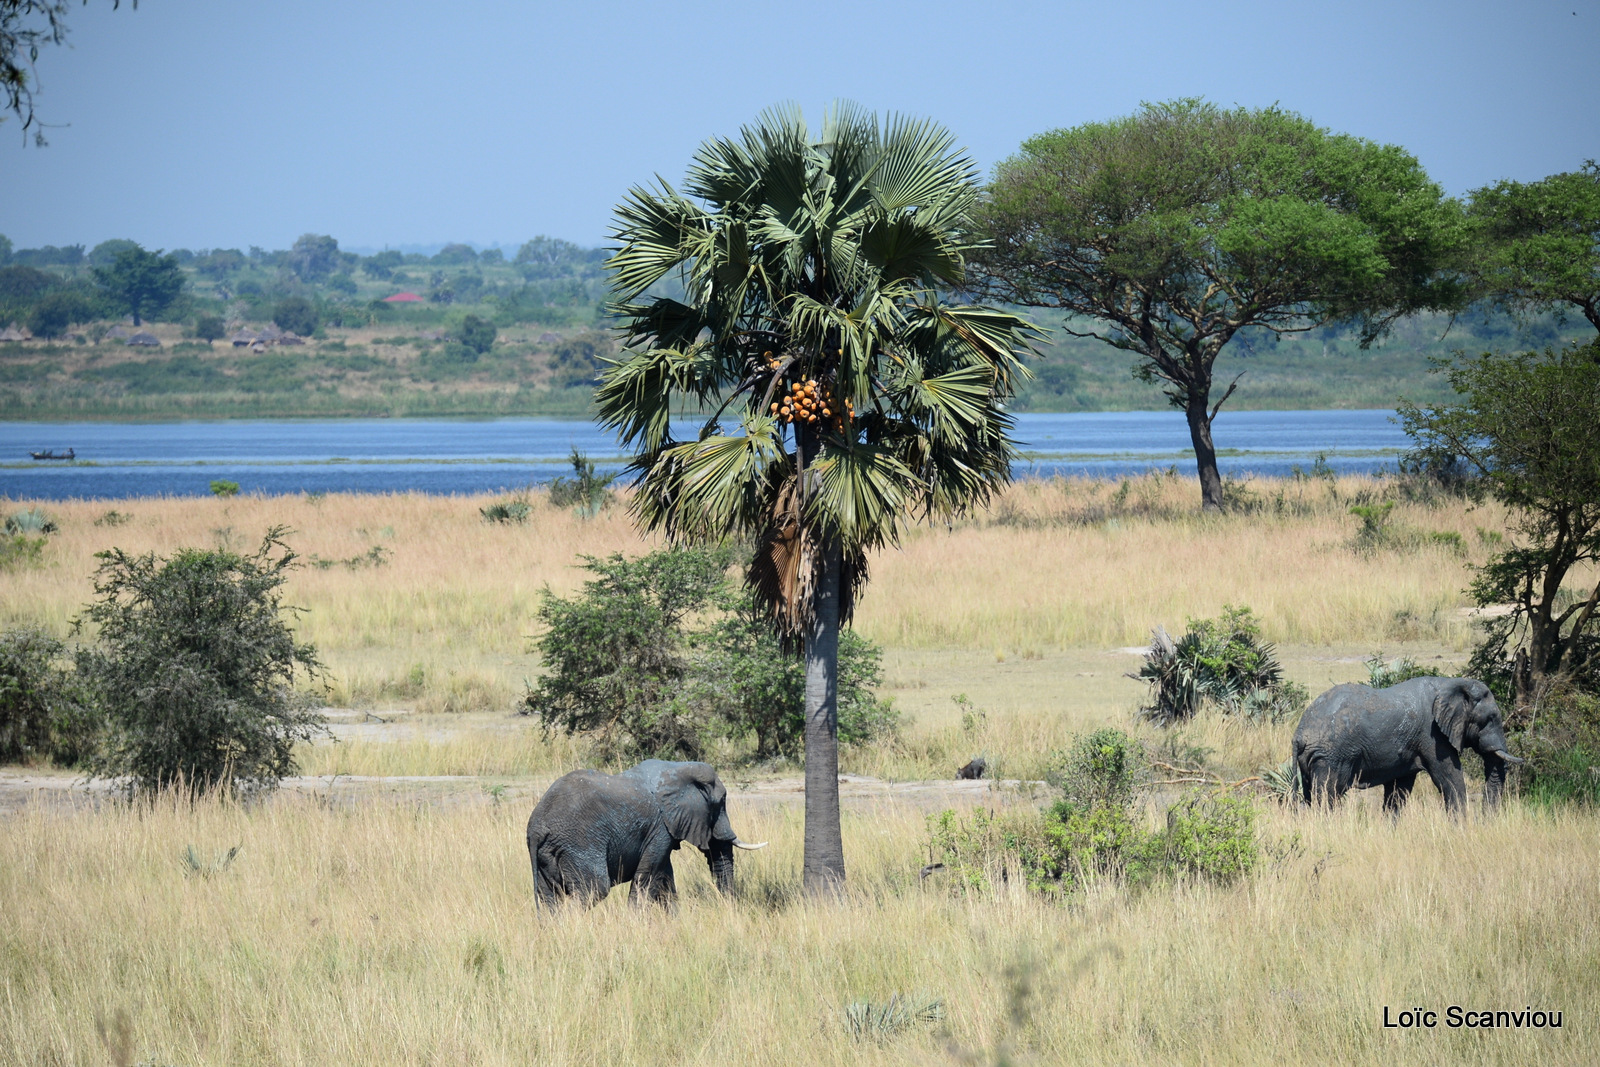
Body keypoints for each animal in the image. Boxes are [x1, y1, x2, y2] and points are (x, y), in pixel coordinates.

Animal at [528, 758, 764, 908]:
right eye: (721, 802)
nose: (727, 907)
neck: (677, 768)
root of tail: (538, 828)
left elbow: (665, 877)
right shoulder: (660, 827)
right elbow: (648, 875)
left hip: (545, 856)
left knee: (548, 898)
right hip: (579, 844)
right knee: (594, 890)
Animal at [1286, 675, 1523, 819]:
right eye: (1490, 719)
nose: (1483, 820)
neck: (1452, 683)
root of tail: (1299, 733)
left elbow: (1398, 790)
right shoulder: (1433, 737)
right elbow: (1449, 777)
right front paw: (1461, 829)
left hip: (1313, 758)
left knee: (1311, 795)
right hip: (1331, 756)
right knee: (1328, 796)